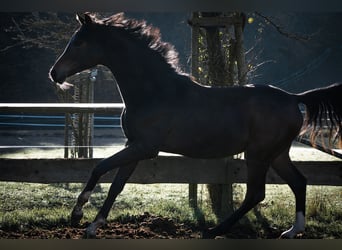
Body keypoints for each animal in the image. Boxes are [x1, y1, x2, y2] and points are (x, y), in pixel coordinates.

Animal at [48, 12, 342, 239]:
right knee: (299, 182)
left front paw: (77, 215)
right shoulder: (134, 146)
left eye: (79, 42)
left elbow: (99, 167)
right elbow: (116, 184)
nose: (54, 73)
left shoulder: (145, 147)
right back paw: (292, 231)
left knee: (256, 193)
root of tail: (293, 98)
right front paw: (94, 225)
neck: (154, 92)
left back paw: (213, 231)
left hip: (258, 154)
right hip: (278, 153)